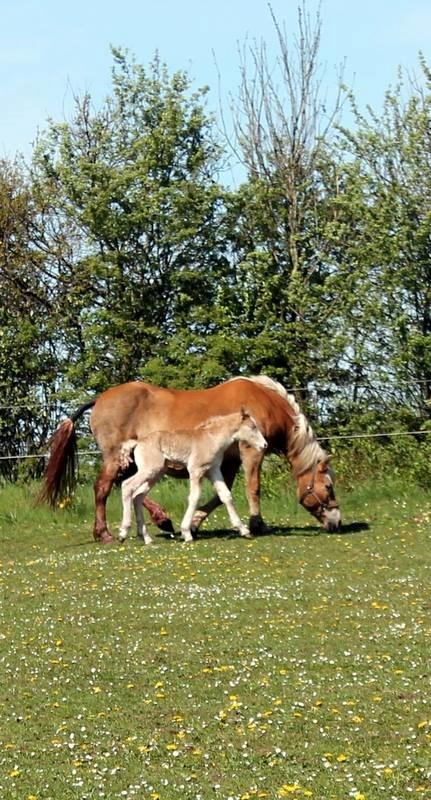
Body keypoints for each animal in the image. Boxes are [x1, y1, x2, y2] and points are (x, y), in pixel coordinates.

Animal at [118, 410, 266, 548]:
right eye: (253, 427)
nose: (264, 445)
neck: (212, 438)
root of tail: (138, 442)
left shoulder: (214, 470)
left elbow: (226, 495)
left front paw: (244, 530)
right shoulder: (196, 470)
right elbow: (195, 497)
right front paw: (186, 533)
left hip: (156, 473)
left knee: (138, 496)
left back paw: (146, 538)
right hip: (149, 470)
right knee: (127, 486)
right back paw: (123, 533)